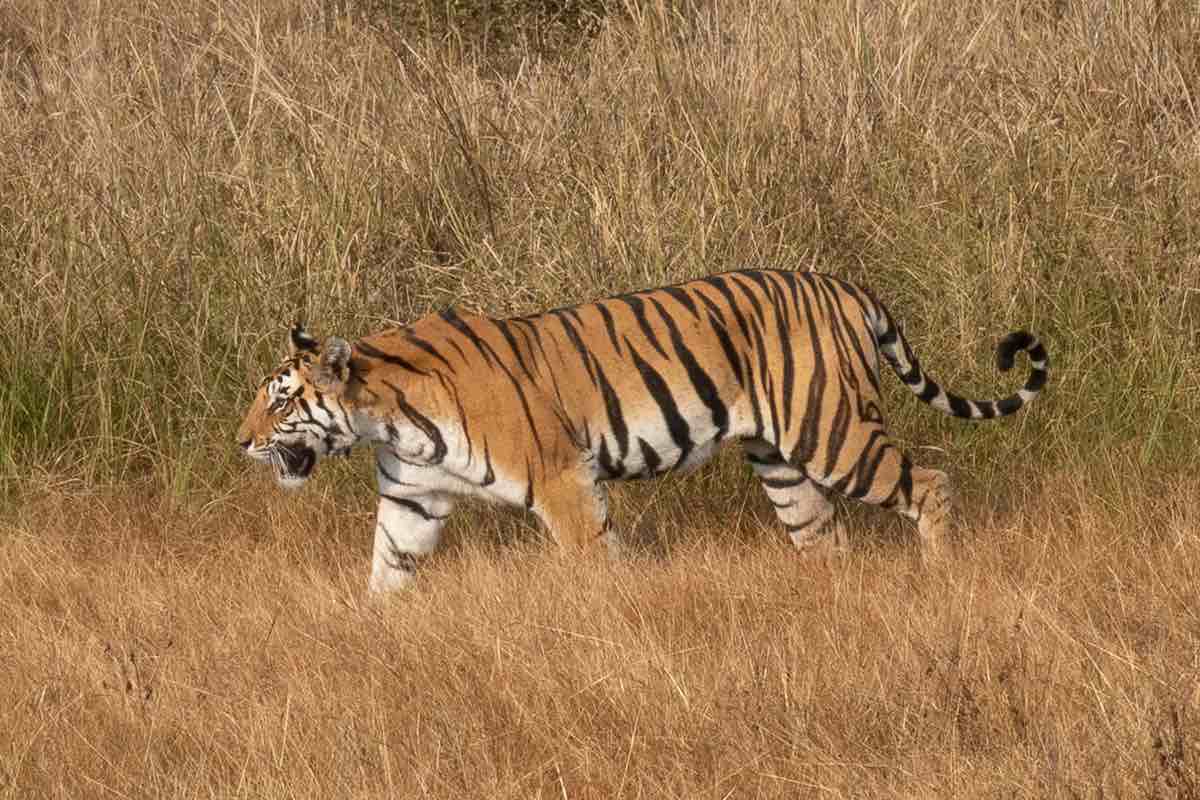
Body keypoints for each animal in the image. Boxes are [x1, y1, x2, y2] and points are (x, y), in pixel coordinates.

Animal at [237, 268, 1048, 594]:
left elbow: (595, 561)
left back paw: (941, 574)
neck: (388, 418)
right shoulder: (413, 499)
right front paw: (369, 635)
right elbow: (386, 574)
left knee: (931, 482)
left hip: (833, 431)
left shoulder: (561, 479)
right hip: (782, 461)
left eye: (280, 401)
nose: (240, 441)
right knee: (824, 536)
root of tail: (845, 285)